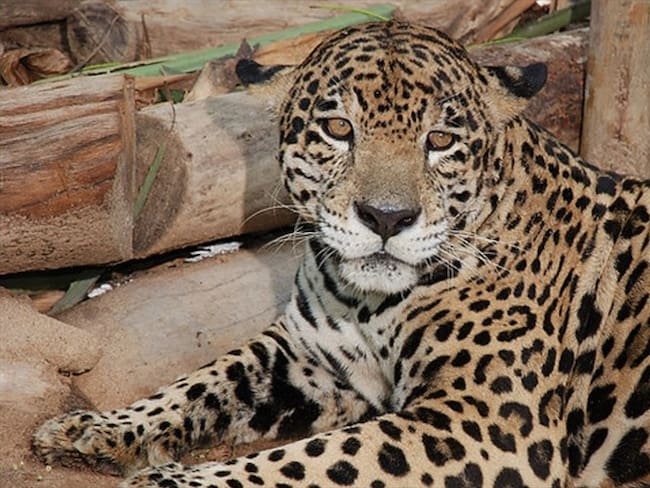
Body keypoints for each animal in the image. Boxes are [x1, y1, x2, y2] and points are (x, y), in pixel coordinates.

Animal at [33, 21, 650, 487]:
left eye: (441, 141)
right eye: (337, 129)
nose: (387, 218)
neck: (369, 302)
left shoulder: (487, 426)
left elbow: (317, 461)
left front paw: (173, 482)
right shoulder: (308, 356)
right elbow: (203, 381)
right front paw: (96, 428)